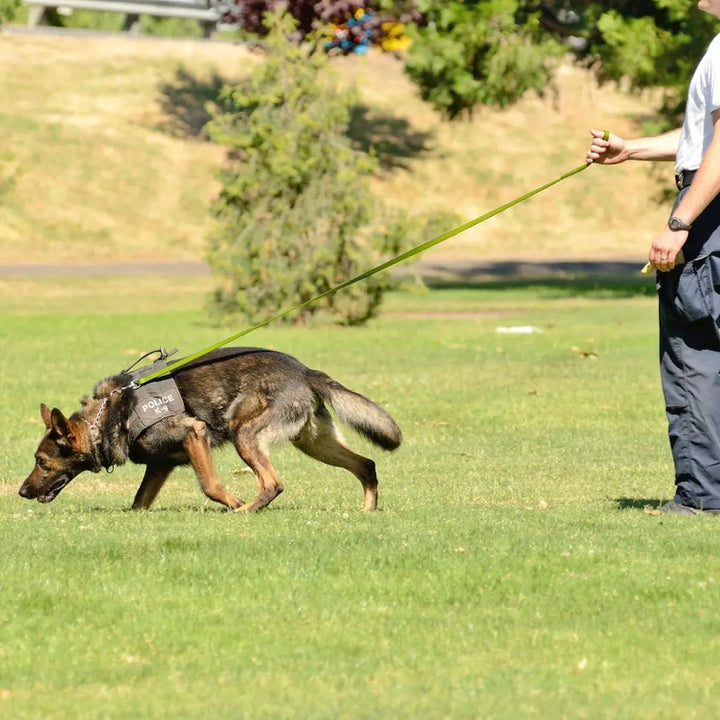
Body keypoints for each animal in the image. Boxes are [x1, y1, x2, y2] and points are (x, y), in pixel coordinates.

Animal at [16, 348, 402, 512]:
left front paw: (233, 502)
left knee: (272, 484)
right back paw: (367, 511)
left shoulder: (195, 433)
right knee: (366, 464)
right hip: (314, 444)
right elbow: (139, 502)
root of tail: (306, 371)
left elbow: (210, 486)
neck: (111, 413)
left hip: (244, 435)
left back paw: (245, 511)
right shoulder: (161, 464)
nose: (20, 491)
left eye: (42, 462)